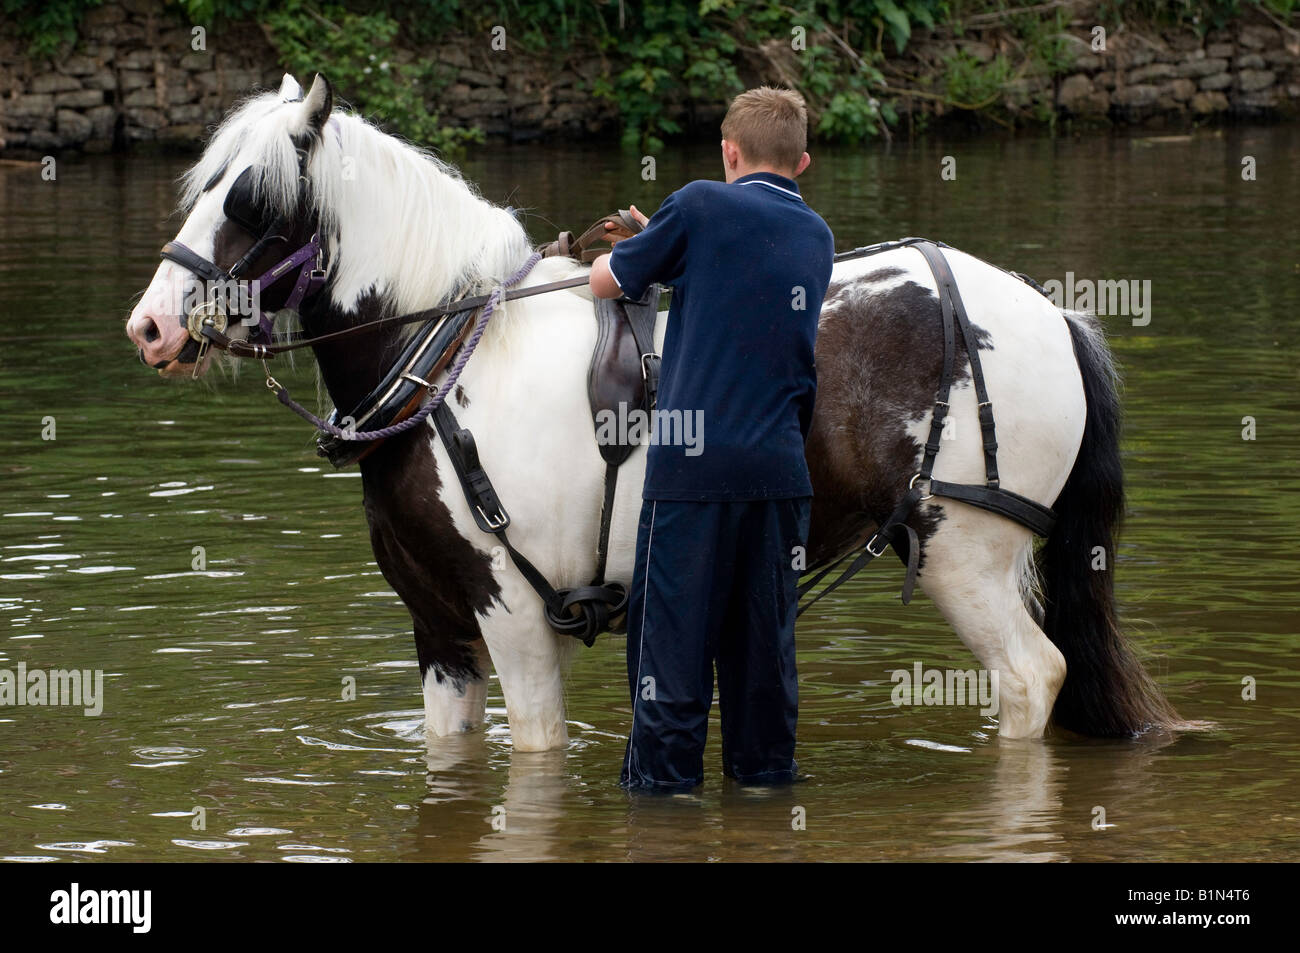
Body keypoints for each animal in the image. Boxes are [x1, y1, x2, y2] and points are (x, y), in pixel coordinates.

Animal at [124, 76, 1190, 748]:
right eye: (206, 185)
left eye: (252, 199)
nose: (152, 326)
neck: (447, 369)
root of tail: (1049, 313)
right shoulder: (440, 633)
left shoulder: (514, 619)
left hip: (964, 553)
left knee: (1032, 678)